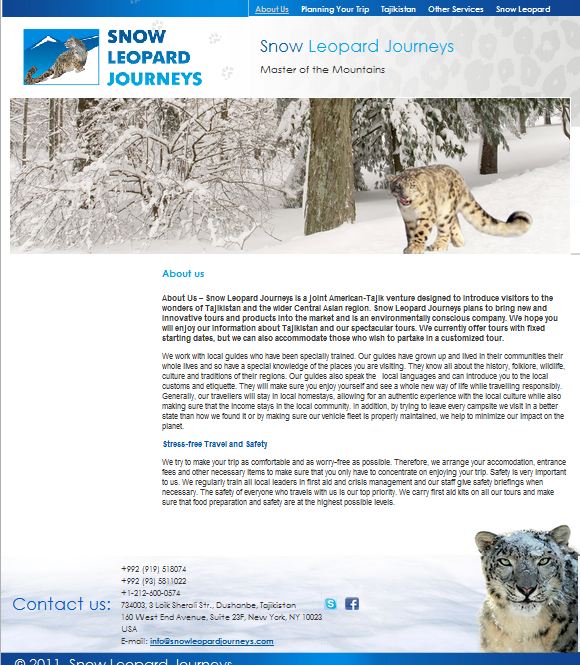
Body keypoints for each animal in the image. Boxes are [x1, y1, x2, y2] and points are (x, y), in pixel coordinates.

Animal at [389, 164, 532, 254]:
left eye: (412, 186)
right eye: (398, 186)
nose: (405, 196)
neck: (411, 209)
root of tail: (459, 176)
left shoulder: (427, 215)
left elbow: (421, 231)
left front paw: (416, 247)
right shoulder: (408, 219)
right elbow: (410, 233)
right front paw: (409, 247)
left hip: (445, 211)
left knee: (445, 227)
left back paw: (439, 245)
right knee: (454, 220)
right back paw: (458, 240)